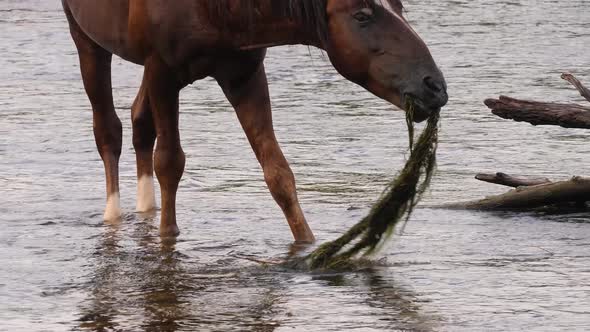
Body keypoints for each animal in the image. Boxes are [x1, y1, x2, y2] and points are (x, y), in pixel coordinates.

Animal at [62, 0, 448, 244]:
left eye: (400, 6)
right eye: (362, 15)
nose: (435, 87)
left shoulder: (244, 76)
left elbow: (278, 174)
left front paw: (307, 244)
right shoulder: (162, 70)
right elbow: (170, 163)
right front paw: (168, 236)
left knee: (141, 121)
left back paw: (146, 208)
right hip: (86, 39)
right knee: (108, 130)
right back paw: (113, 216)